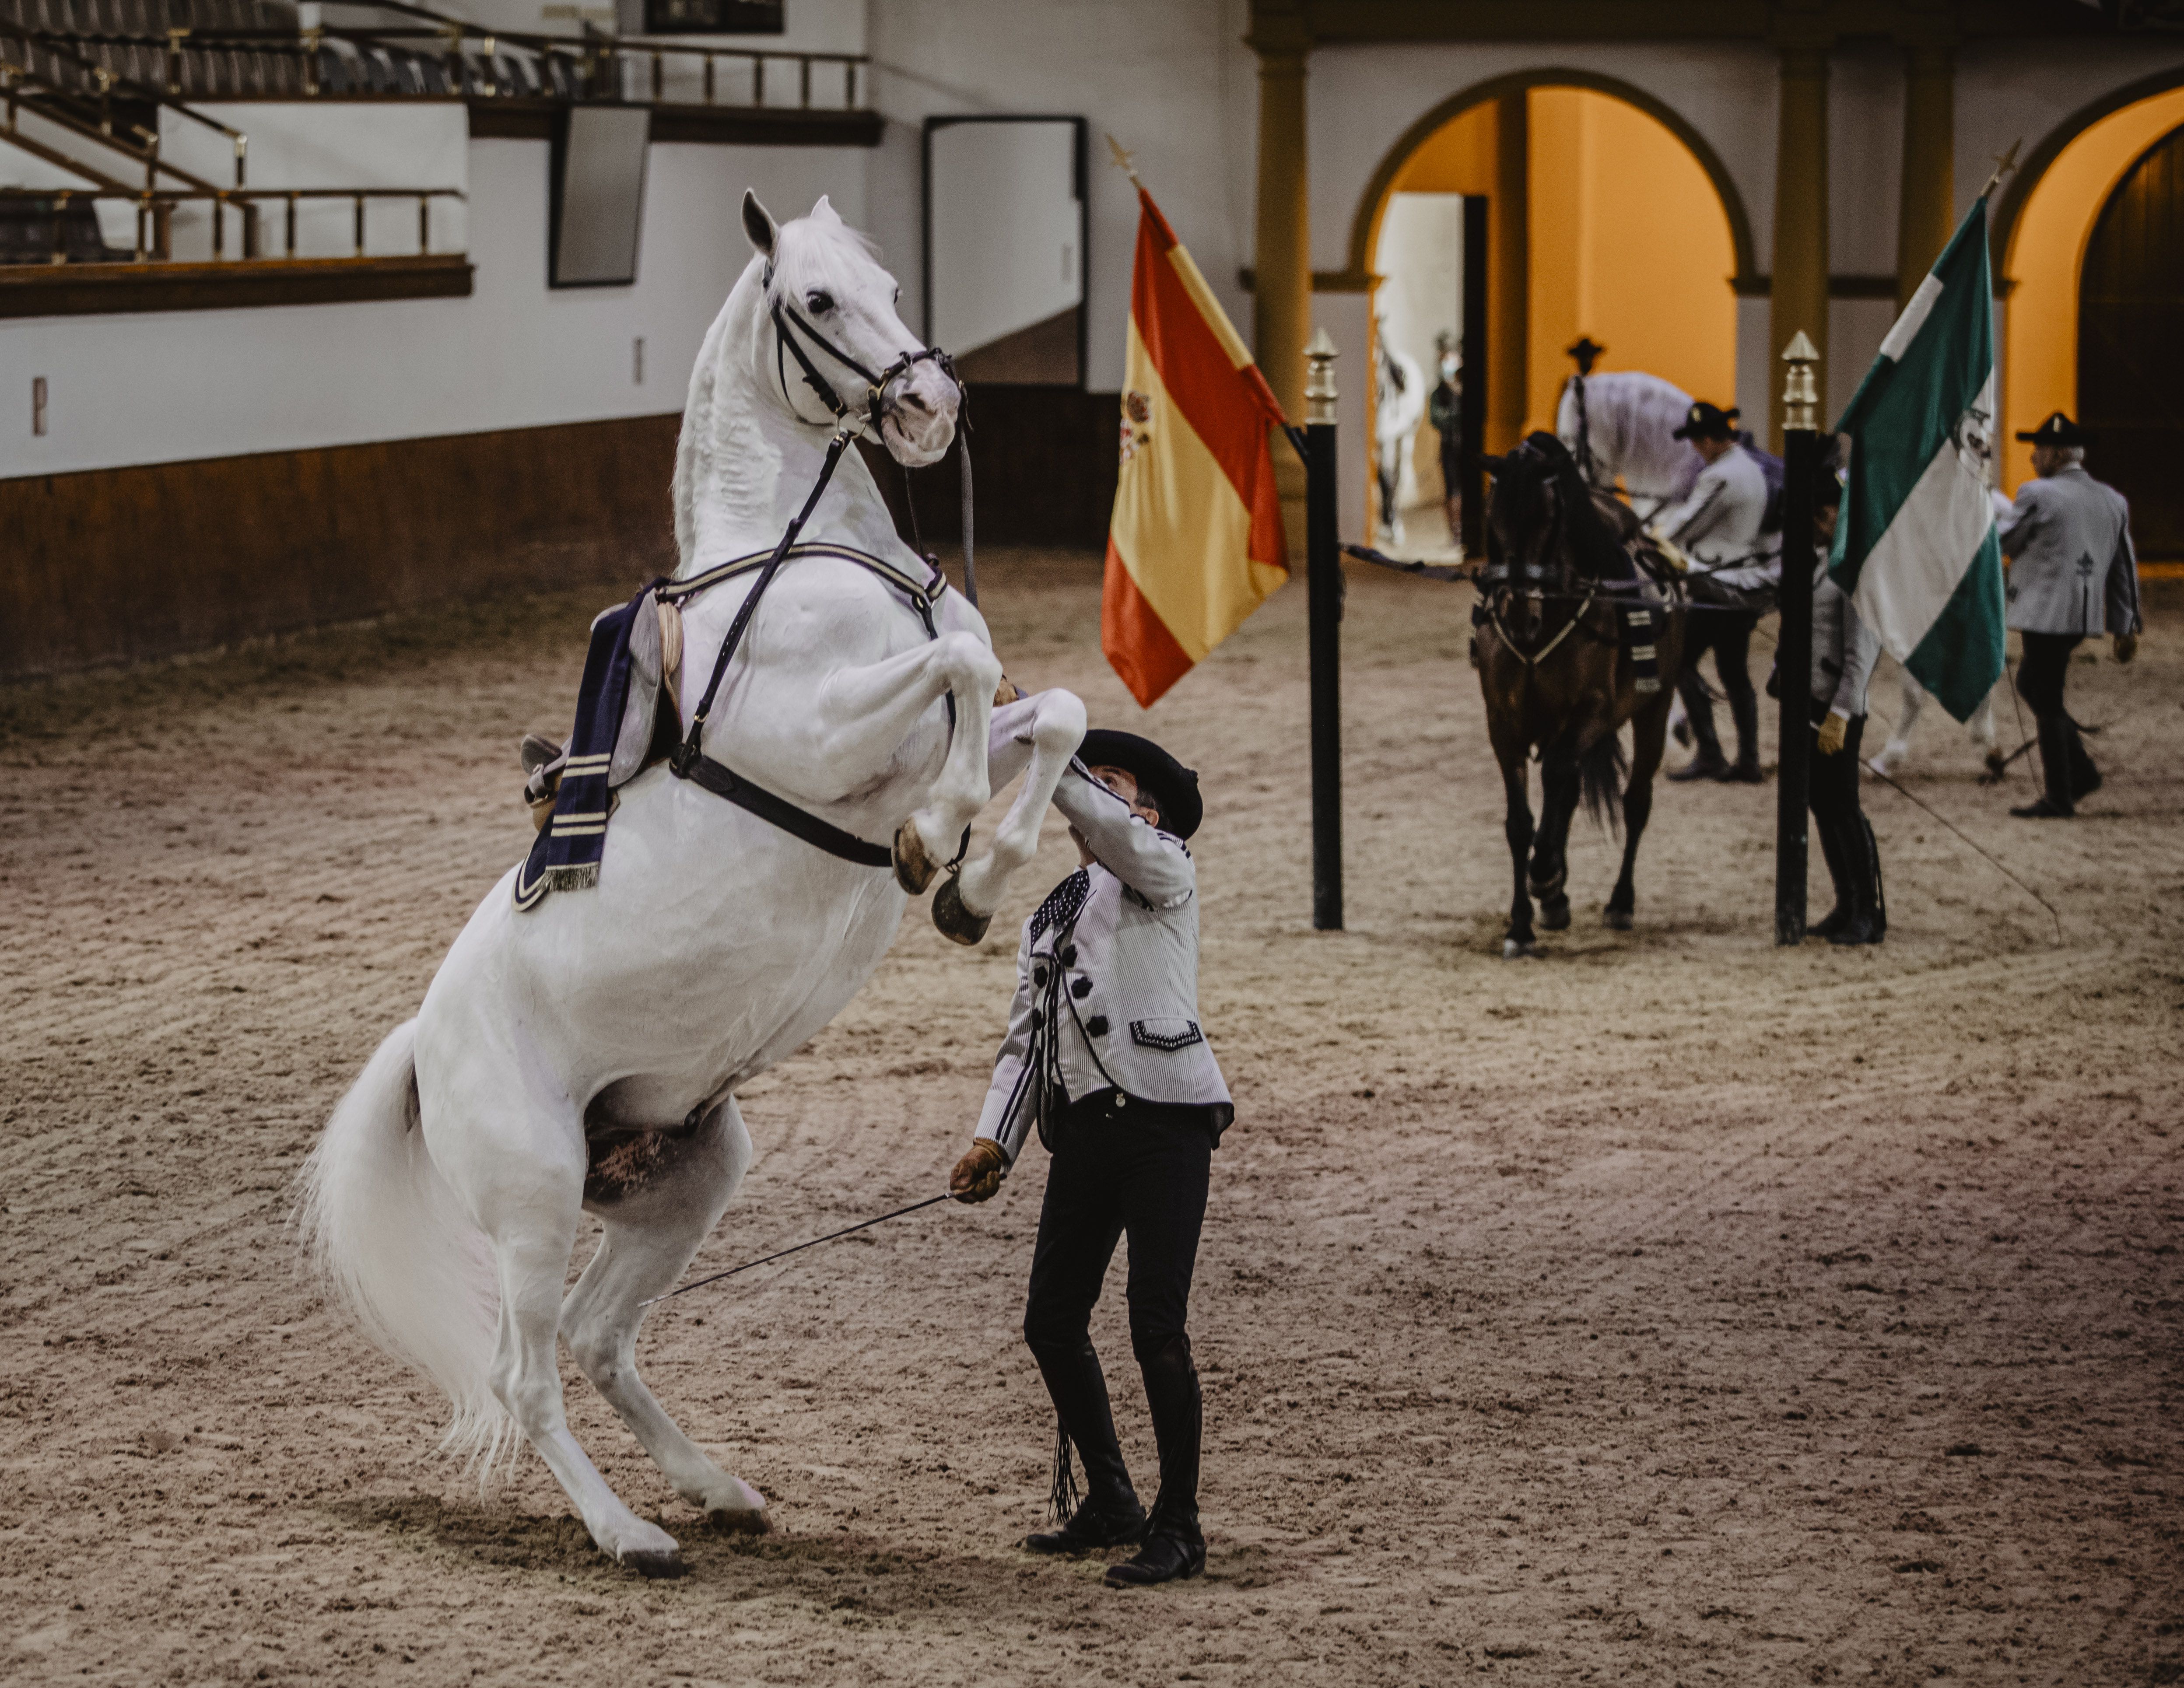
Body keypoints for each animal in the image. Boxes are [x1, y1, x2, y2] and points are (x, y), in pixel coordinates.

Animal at [299, 192, 1089, 1578]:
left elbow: (1047, 708)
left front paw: (970, 884)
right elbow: (962, 661)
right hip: (534, 1197)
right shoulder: (828, 742)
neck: (805, 552)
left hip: (685, 1176)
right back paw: (630, 1534)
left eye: (887, 282)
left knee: (597, 1337)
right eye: (816, 302)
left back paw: (716, 1488)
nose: (932, 400)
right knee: (524, 1371)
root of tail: (421, 1045)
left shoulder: (918, 741)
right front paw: (946, 844)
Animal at [1474, 433, 1686, 957]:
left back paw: (1619, 902)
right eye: (1494, 515)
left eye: (1548, 519)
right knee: (1567, 794)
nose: (1518, 613)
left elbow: (1556, 778)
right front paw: (1522, 923)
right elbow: (1520, 823)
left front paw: (1545, 875)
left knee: (1635, 801)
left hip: (1653, 709)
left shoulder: (1593, 713)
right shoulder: (1502, 724)